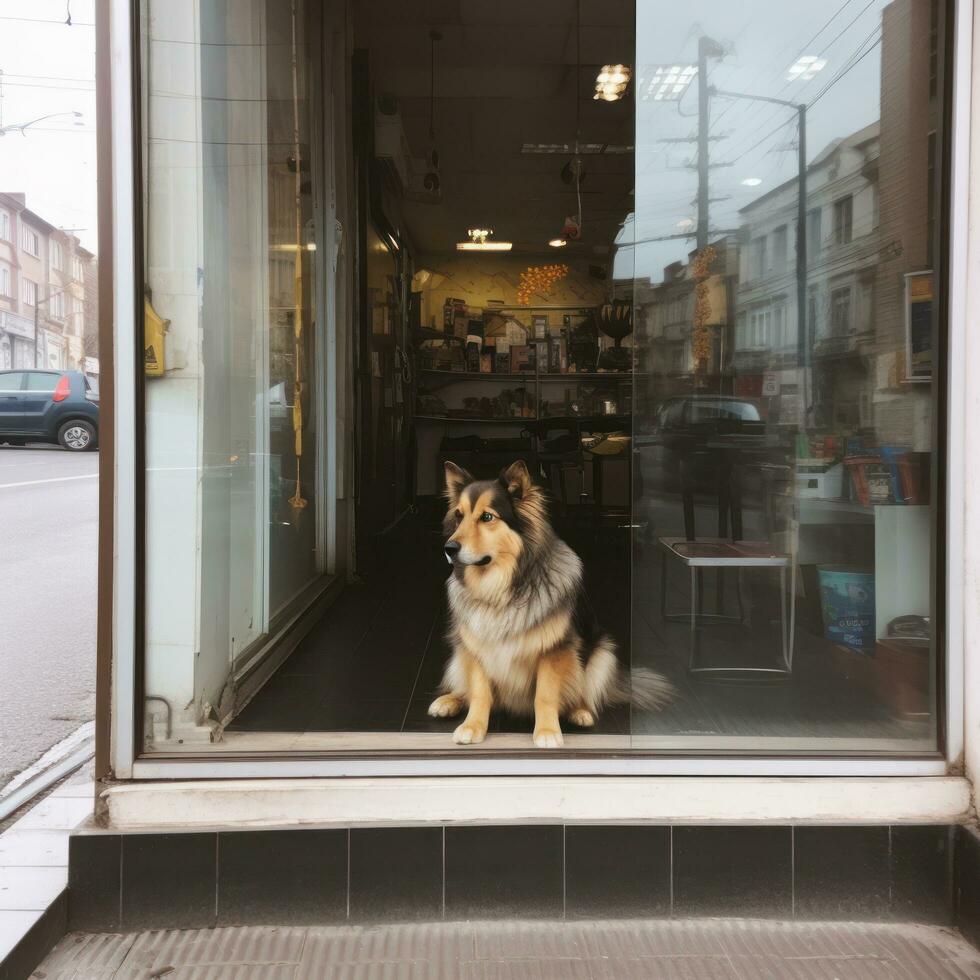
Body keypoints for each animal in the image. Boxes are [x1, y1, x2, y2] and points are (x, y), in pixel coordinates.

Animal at [428, 464, 672, 748]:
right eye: (459, 516)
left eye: (487, 517)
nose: (449, 548)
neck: (502, 587)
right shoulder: (476, 648)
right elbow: (479, 693)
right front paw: (473, 726)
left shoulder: (553, 650)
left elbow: (545, 695)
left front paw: (546, 732)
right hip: (459, 653)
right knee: (464, 688)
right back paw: (448, 701)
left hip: (602, 652)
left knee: (583, 692)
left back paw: (580, 711)